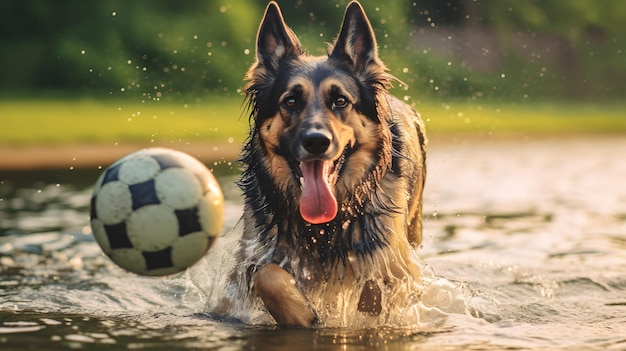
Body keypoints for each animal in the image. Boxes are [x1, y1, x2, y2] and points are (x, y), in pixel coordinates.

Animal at [210, 1, 424, 328]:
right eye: (290, 101)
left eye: (340, 101)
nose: (316, 141)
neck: (325, 224)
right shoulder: (254, 254)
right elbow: (266, 274)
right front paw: (302, 314)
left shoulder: (395, 264)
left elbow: (374, 288)